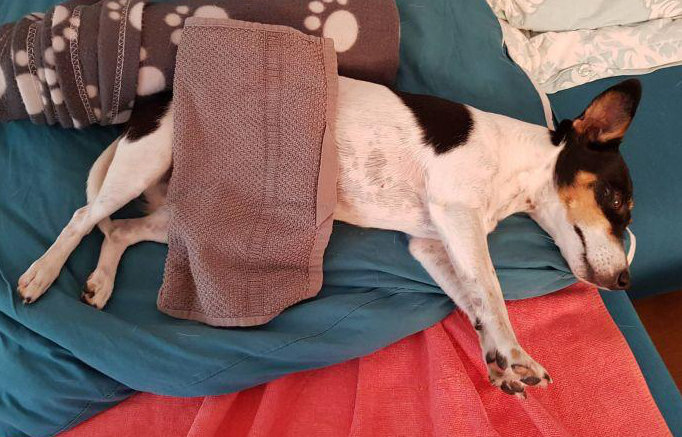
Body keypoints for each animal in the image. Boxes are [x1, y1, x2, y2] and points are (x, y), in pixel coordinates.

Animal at [17, 76, 640, 398]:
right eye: (617, 201)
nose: (628, 279)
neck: (519, 164)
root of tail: (150, 102)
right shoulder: (457, 218)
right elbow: (493, 296)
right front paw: (513, 351)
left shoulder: (433, 243)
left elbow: (472, 303)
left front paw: (500, 361)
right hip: (145, 163)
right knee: (82, 216)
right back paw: (41, 273)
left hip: (175, 212)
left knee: (119, 231)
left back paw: (100, 282)